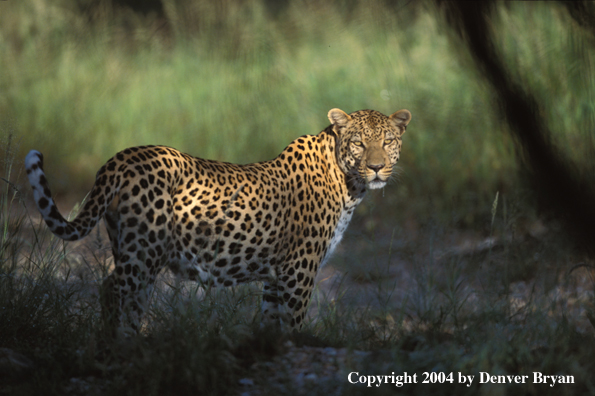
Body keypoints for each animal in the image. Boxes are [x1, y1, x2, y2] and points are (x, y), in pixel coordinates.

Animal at [25, 108, 412, 338]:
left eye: (388, 141)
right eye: (359, 143)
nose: (377, 167)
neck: (348, 183)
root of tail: (121, 157)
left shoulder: (275, 278)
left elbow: (270, 327)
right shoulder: (298, 272)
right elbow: (293, 327)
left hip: (129, 248)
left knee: (131, 302)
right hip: (145, 251)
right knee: (110, 290)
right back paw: (110, 351)